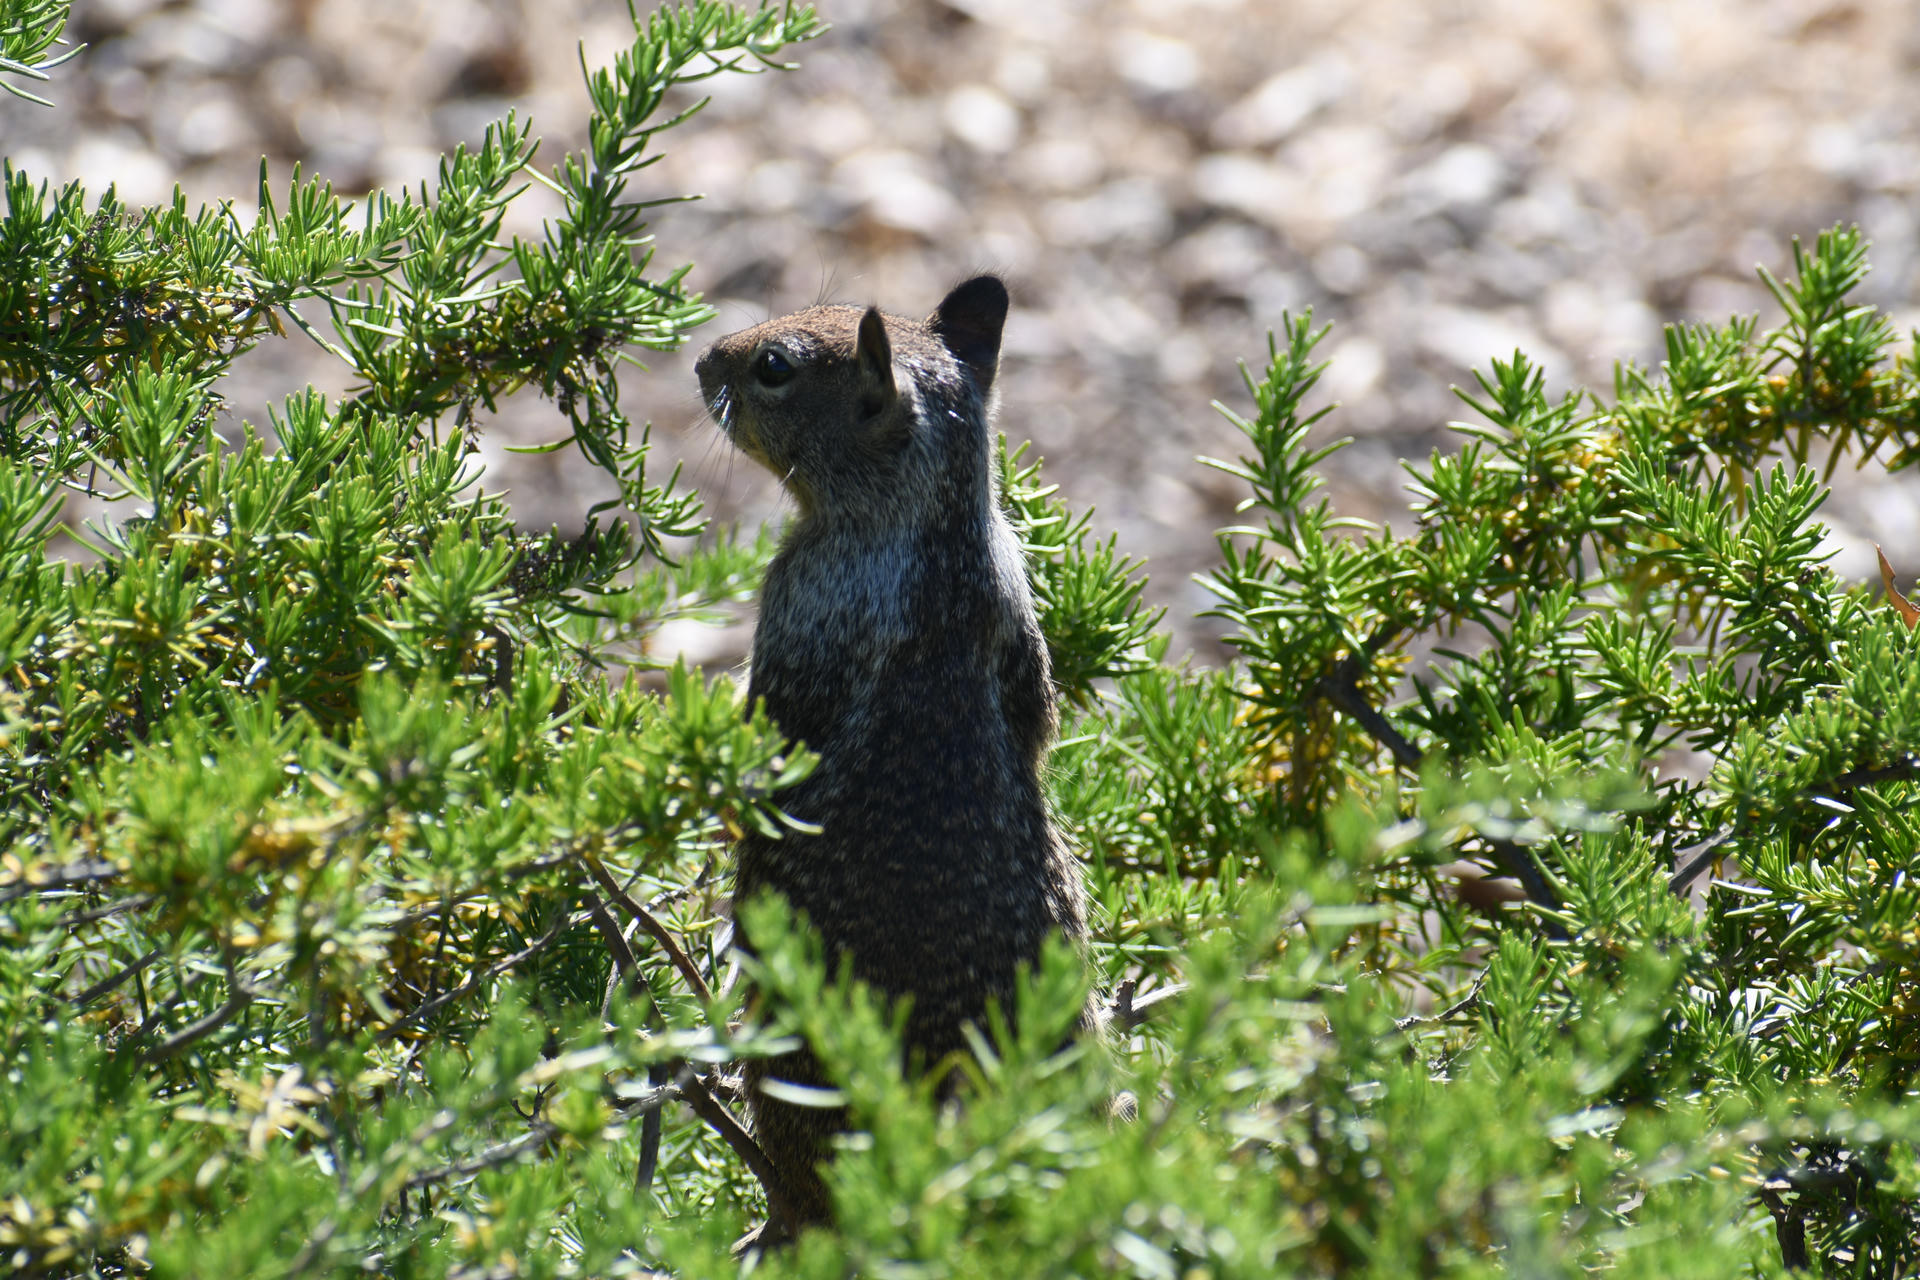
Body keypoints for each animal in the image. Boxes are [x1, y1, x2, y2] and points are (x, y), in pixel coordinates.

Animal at [695, 276, 1089, 1232]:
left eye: (774, 367)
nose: (701, 364)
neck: (935, 537)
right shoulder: (1017, 606)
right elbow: (1040, 720)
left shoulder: (800, 605)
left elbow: (766, 744)